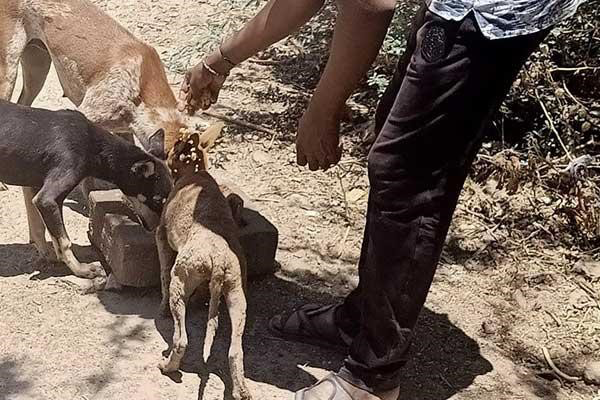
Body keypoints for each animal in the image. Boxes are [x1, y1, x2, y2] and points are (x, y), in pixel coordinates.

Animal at [0, 1, 192, 262]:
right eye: (158, 198)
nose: (158, 230)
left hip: (37, 68)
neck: (140, 86)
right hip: (9, 69)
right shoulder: (83, 119)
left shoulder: (123, 132)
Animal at [0, 100, 173, 282]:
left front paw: (49, 256)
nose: (158, 230)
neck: (91, 143)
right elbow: (64, 241)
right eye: (157, 200)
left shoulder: (34, 188)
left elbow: (39, 229)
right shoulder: (47, 199)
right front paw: (81, 270)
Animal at [157, 123, 251, 400]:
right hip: (236, 294)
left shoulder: (161, 236)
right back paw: (242, 390)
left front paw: (161, 309)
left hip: (180, 282)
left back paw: (168, 366)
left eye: (175, 145)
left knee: (181, 339)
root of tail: (218, 259)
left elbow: (162, 275)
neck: (197, 172)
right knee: (235, 350)